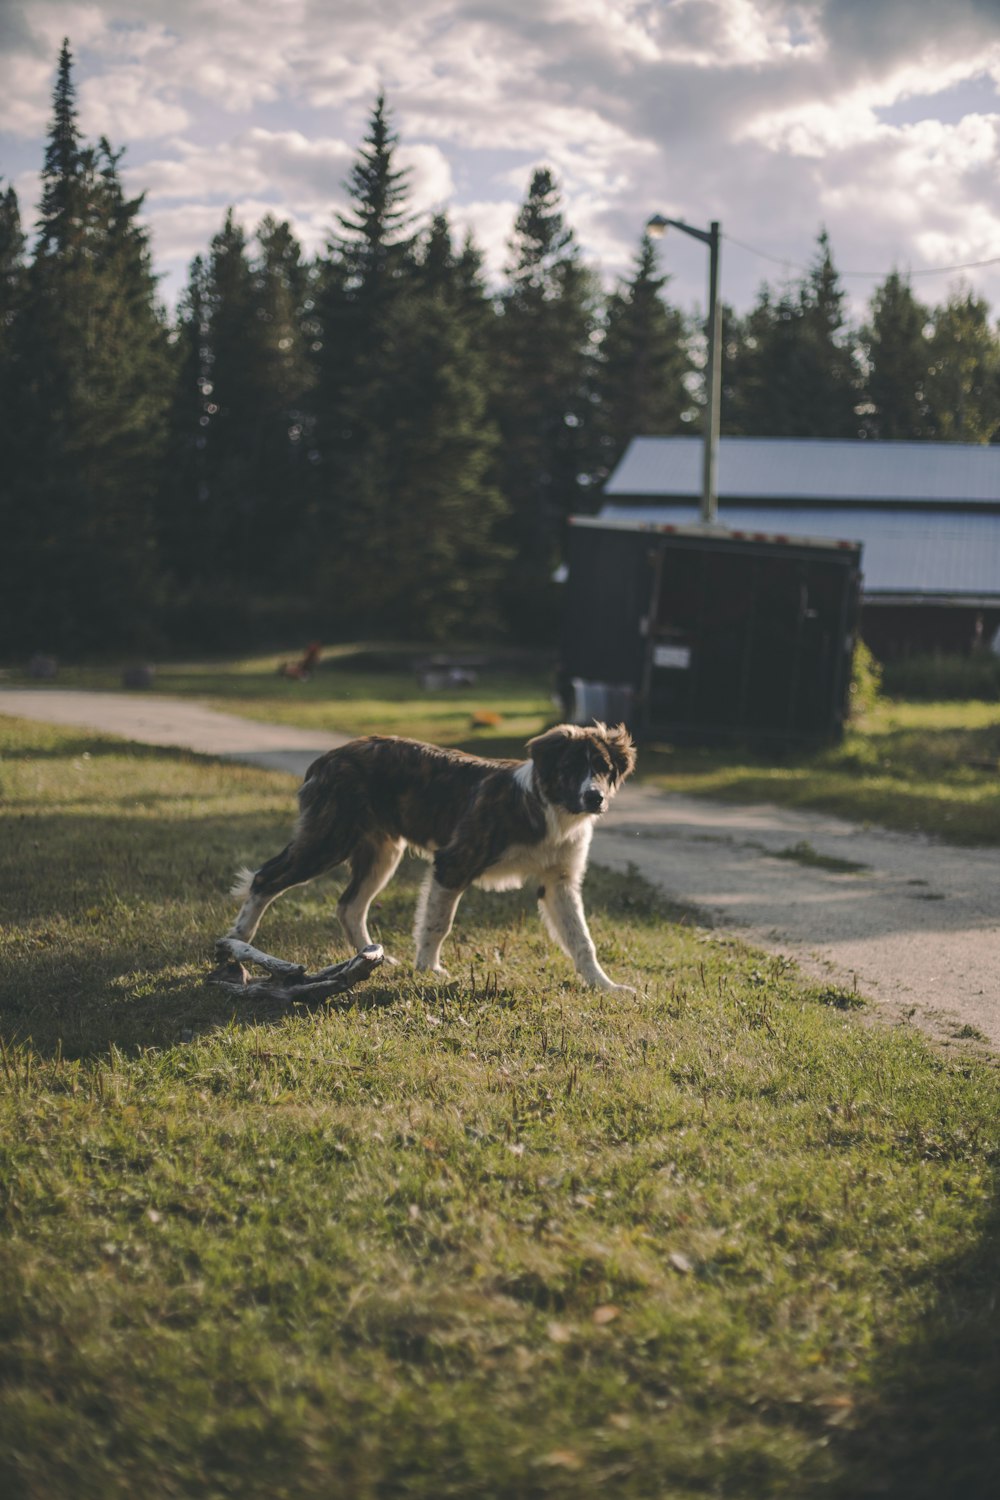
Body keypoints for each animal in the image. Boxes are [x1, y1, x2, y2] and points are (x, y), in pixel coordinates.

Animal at [223, 723, 638, 990]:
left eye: (603, 769)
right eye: (570, 768)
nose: (595, 797)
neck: (551, 809)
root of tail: (328, 758)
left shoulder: (559, 883)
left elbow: (582, 940)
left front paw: (605, 987)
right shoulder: (453, 863)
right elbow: (438, 923)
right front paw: (428, 969)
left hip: (381, 853)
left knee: (349, 906)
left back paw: (371, 956)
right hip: (328, 840)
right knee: (265, 879)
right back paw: (237, 940)